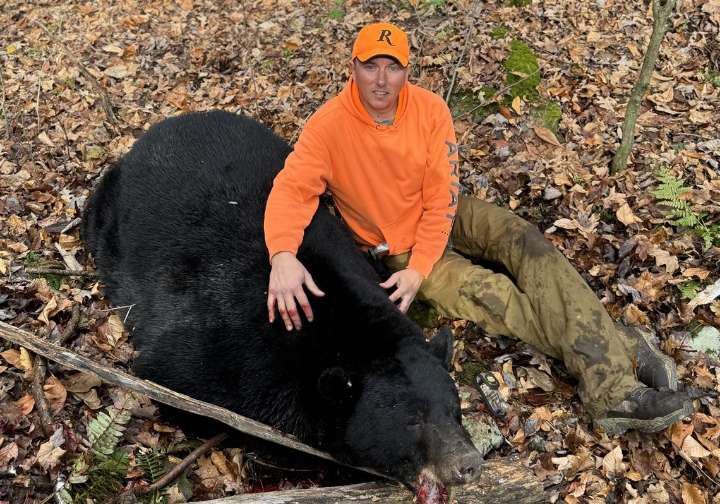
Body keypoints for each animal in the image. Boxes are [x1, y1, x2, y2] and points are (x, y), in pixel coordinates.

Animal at [82, 110, 482, 498]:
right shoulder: (217, 349)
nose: (468, 464)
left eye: (454, 410)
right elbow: (174, 383)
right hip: (111, 208)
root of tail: (161, 127)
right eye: (413, 420)